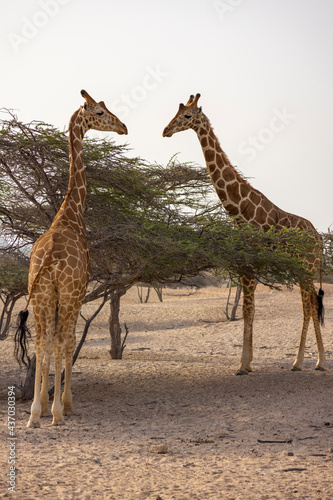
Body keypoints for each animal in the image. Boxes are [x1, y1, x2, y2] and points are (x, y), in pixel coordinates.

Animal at [13, 90, 127, 426]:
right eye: (100, 112)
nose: (123, 127)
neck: (71, 214)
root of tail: (49, 258)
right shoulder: (77, 292)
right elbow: (69, 341)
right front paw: (65, 404)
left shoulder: (53, 295)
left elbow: (52, 343)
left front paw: (44, 406)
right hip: (64, 292)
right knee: (60, 339)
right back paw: (55, 413)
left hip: (39, 294)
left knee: (42, 340)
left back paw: (34, 415)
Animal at [163, 94, 324, 376]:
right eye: (176, 112)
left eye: (187, 116)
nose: (166, 130)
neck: (239, 210)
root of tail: (319, 239)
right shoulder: (242, 263)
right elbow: (249, 310)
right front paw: (246, 363)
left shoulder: (251, 264)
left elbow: (249, 310)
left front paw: (243, 365)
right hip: (299, 270)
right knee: (308, 305)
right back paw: (299, 362)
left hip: (307, 267)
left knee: (312, 304)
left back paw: (319, 362)